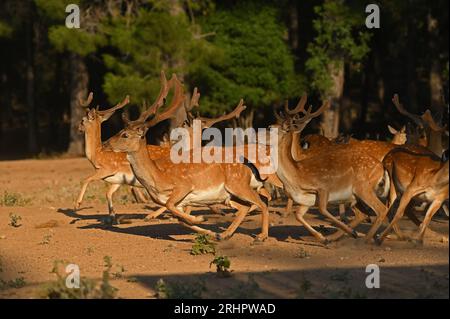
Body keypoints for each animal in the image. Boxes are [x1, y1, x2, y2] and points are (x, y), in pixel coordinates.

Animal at [105, 74, 270, 241]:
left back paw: (261, 236)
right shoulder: (176, 202)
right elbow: (181, 220)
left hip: (238, 184)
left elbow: (172, 207)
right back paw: (224, 234)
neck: (156, 179)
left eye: (125, 135)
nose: (105, 143)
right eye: (120, 131)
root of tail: (248, 166)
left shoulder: (183, 186)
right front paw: (208, 230)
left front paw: (201, 219)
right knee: (245, 207)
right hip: (229, 195)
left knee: (262, 202)